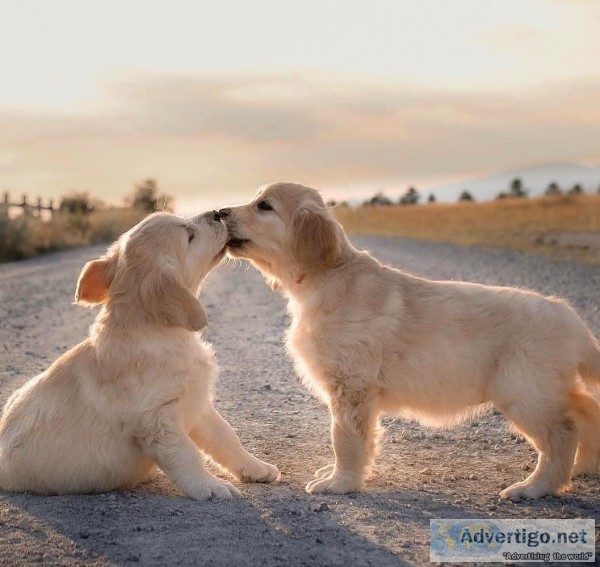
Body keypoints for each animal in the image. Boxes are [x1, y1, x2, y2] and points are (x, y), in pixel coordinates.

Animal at [0, 212, 280, 496]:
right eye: (189, 235)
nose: (218, 213)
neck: (158, 331)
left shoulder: (197, 402)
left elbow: (225, 436)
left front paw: (256, 467)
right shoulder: (158, 422)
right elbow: (188, 454)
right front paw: (210, 487)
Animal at [219, 183, 600, 502]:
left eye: (264, 206)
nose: (220, 212)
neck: (328, 278)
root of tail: (571, 316)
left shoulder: (352, 387)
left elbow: (344, 438)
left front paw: (339, 482)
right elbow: (363, 440)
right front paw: (343, 474)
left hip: (523, 392)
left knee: (563, 433)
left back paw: (535, 487)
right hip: (542, 389)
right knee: (585, 409)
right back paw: (583, 466)